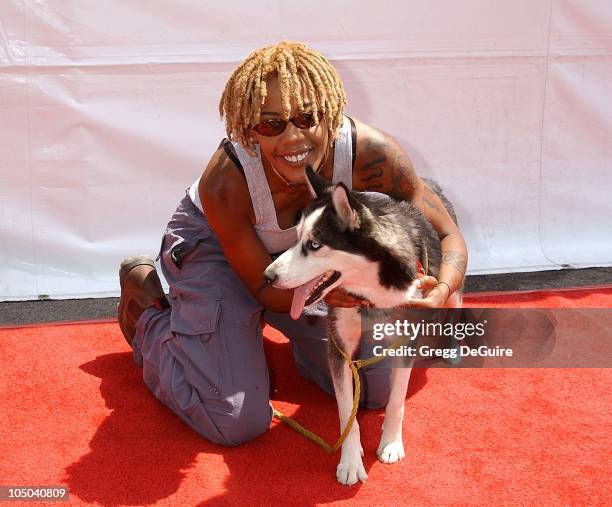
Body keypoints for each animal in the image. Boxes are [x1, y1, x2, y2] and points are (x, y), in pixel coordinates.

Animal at [266, 166, 456, 484]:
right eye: (295, 238)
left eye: (314, 244)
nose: (267, 276)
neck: (369, 295)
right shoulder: (339, 347)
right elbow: (347, 411)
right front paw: (351, 460)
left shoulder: (406, 341)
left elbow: (396, 400)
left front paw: (391, 442)